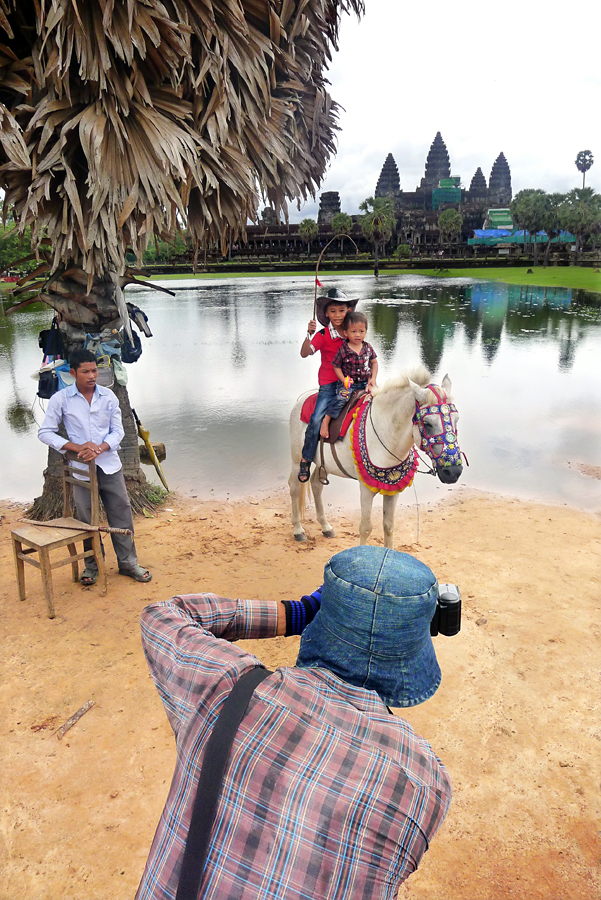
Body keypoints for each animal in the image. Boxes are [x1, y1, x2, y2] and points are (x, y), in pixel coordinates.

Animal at [288, 368, 462, 548]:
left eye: (457, 419)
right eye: (427, 423)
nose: (453, 472)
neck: (386, 433)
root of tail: (303, 398)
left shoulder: (393, 490)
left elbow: (389, 526)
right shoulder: (366, 489)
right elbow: (365, 527)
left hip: (324, 464)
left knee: (316, 485)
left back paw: (325, 527)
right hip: (297, 459)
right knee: (295, 487)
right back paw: (298, 530)